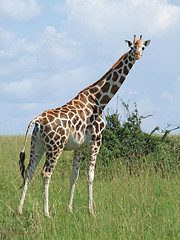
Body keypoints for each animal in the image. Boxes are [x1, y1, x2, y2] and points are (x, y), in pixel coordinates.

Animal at [17, 34, 150, 217]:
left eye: (142, 47)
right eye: (132, 47)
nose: (137, 55)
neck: (99, 101)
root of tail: (37, 120)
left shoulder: (79, 146)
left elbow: (74, 175)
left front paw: (69, 209)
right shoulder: (96, 141)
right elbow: (90, 175)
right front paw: (91, 211)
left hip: (37, 145)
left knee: (29, 171)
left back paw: (19, 210)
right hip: (55, 146)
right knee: (46, 173)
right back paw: (46, 213)